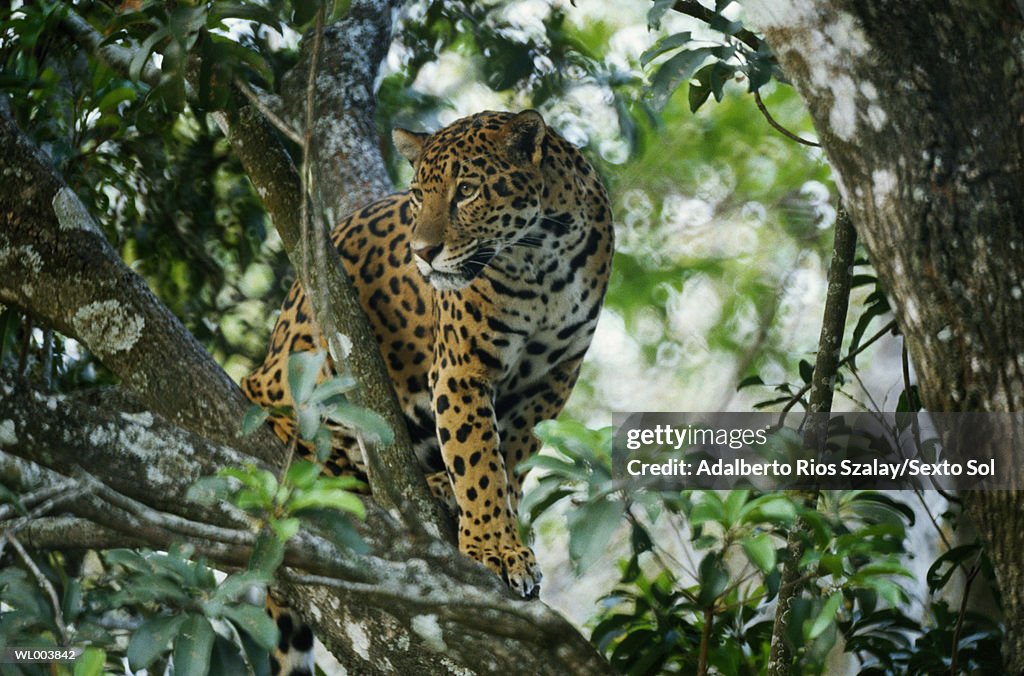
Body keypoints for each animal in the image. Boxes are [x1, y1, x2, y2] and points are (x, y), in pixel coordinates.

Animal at [242, 109, 613, 670]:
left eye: (467, 191)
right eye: (418, 196)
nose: (422, 252)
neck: (542, 259)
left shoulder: (555, 375)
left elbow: (512, 457)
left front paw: (507, 529)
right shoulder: (462, 368)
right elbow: (478, 462)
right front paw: (493, 548)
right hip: (307, 359)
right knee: (279, 414)